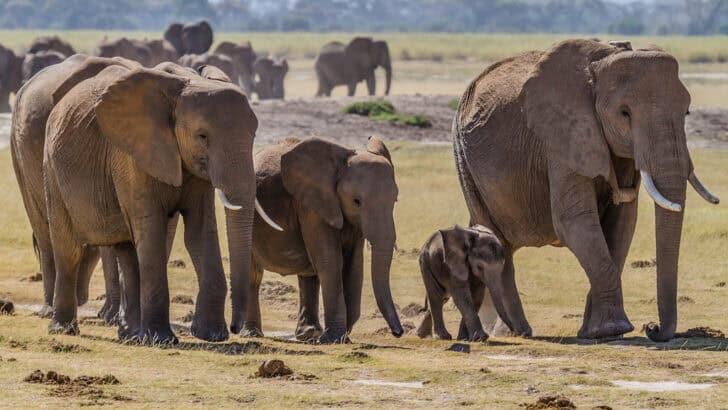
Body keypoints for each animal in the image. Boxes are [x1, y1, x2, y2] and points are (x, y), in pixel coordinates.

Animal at [26, 57, 279, 344]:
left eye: (254, 136)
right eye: (202, 136)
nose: (237, 328)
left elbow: (200, 232)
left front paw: (212, 335)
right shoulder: (132, 154)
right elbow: (151, 228)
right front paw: (162, 339)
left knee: (126, 247)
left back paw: (129, 335)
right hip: (51, 167)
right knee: (68, 247)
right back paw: (64, 329)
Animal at [237, 137, 403, 343]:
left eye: (395, 200)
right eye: (356, 201)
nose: (398, 332)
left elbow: (354, 265)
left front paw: (340, 338)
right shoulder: (312, 205)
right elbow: (330, 261)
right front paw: (334, 339)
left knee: (308, 274)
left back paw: (308, 335)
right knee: (254, 274)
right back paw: (252, 333)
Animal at [452, 39, 719, 341]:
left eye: (687, 111)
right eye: (624, 113)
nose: (652, 328)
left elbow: (622, 222)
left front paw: (597, 332)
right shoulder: (562, 137)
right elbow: (574, 220)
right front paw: (614, 329)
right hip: (463, 157)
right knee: (496, 240)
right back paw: (518, 332)